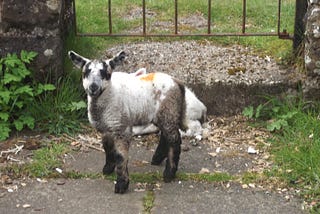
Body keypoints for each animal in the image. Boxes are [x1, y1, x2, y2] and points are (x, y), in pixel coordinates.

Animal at [68, 50, 190, 194]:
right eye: (85, 72)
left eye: (106, 74)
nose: (93, 87)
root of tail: (177, 82)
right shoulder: (106, 128)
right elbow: (107, 148)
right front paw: (108, 168)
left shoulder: (121, 127)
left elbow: (121, 156)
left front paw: (121, 184)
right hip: (163, 114)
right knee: (166, 136)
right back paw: (157, 158)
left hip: (168, 110)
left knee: (174, 140)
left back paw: (169, 173)